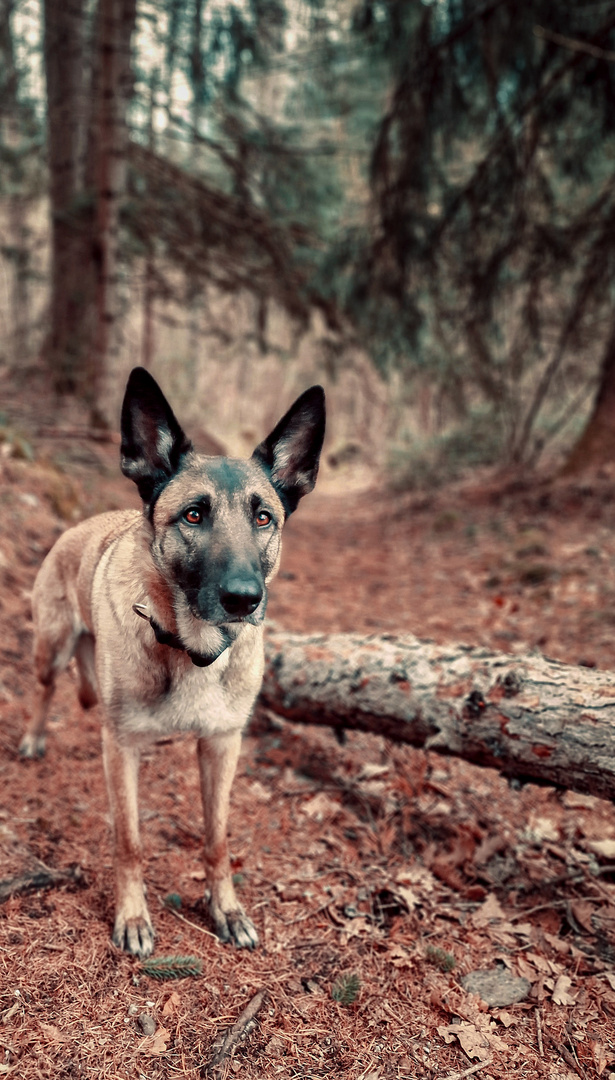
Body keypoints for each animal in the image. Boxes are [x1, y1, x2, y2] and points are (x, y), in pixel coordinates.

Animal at [20, 367, 324, 959]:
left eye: (263, 517)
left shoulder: (222, 745)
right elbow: (130, 841)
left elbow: (217, 839)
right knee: (44, 689)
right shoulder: (120, 749)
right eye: (193, 515)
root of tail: (75, 527)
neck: (191, 649)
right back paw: (33, 738)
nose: (244, 599)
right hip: (52, 649)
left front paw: (226, 910)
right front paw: (133, 916)